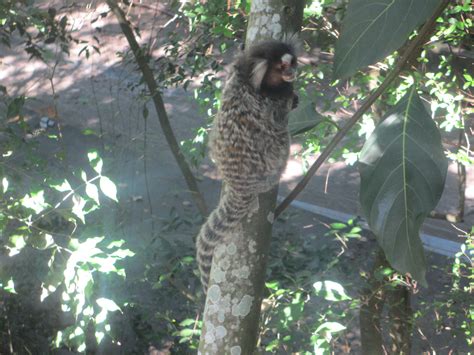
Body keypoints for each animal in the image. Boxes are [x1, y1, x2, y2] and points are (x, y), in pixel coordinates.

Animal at [195, 39, 296, 294]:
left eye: (292, 63)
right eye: (282, 67)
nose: (292, 73)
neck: (248, 79)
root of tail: (240, 185)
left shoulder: (233, 74)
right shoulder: (269, 102)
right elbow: (279, 116)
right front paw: (293, 99)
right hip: (270, 166)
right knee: (282, 137)